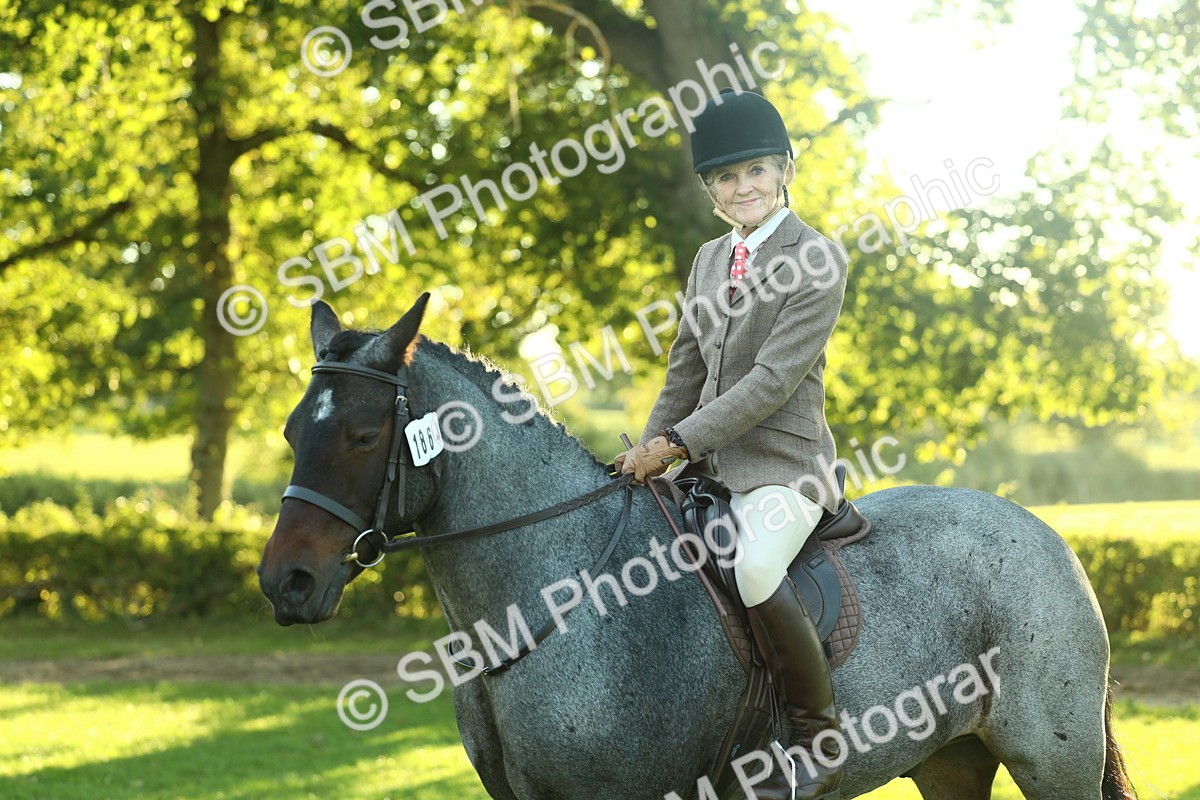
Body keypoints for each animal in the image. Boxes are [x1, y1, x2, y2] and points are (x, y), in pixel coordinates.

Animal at [258, 294, 1138, 800]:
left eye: (363, 435)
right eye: (294, 430)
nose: (285, 584)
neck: (547, 598)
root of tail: (1044, 533)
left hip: (1051, 761)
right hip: (950, 757)